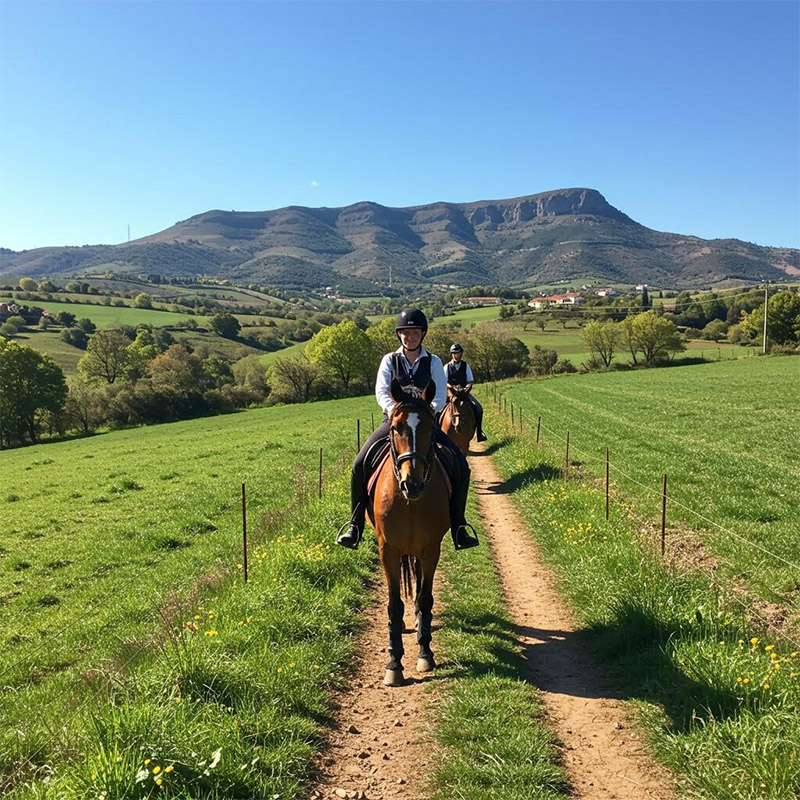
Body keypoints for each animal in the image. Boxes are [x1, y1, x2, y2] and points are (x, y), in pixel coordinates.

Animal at [367, 377, 450, 687]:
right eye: (395, 427)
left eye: (429, 426)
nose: (411, 484)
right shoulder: (387, 551)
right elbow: (393, 605)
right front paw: (394, 664)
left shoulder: (431, 549)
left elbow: (424, 598)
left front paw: (425, 652)